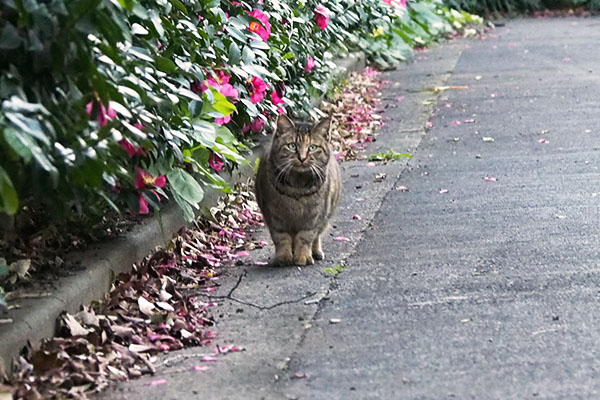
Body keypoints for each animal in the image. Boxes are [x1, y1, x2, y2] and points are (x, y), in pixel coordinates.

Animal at [254, 115, 342, 266]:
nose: (302, 157)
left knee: (317, 236)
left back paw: (316, 252)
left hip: (326, 217)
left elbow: (305, 237)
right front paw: (283, 257)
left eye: (312, 147)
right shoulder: (274, 217)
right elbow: (281, 238)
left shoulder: (313, 217)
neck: (297, 187)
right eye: (292, 146)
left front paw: (303, 257)